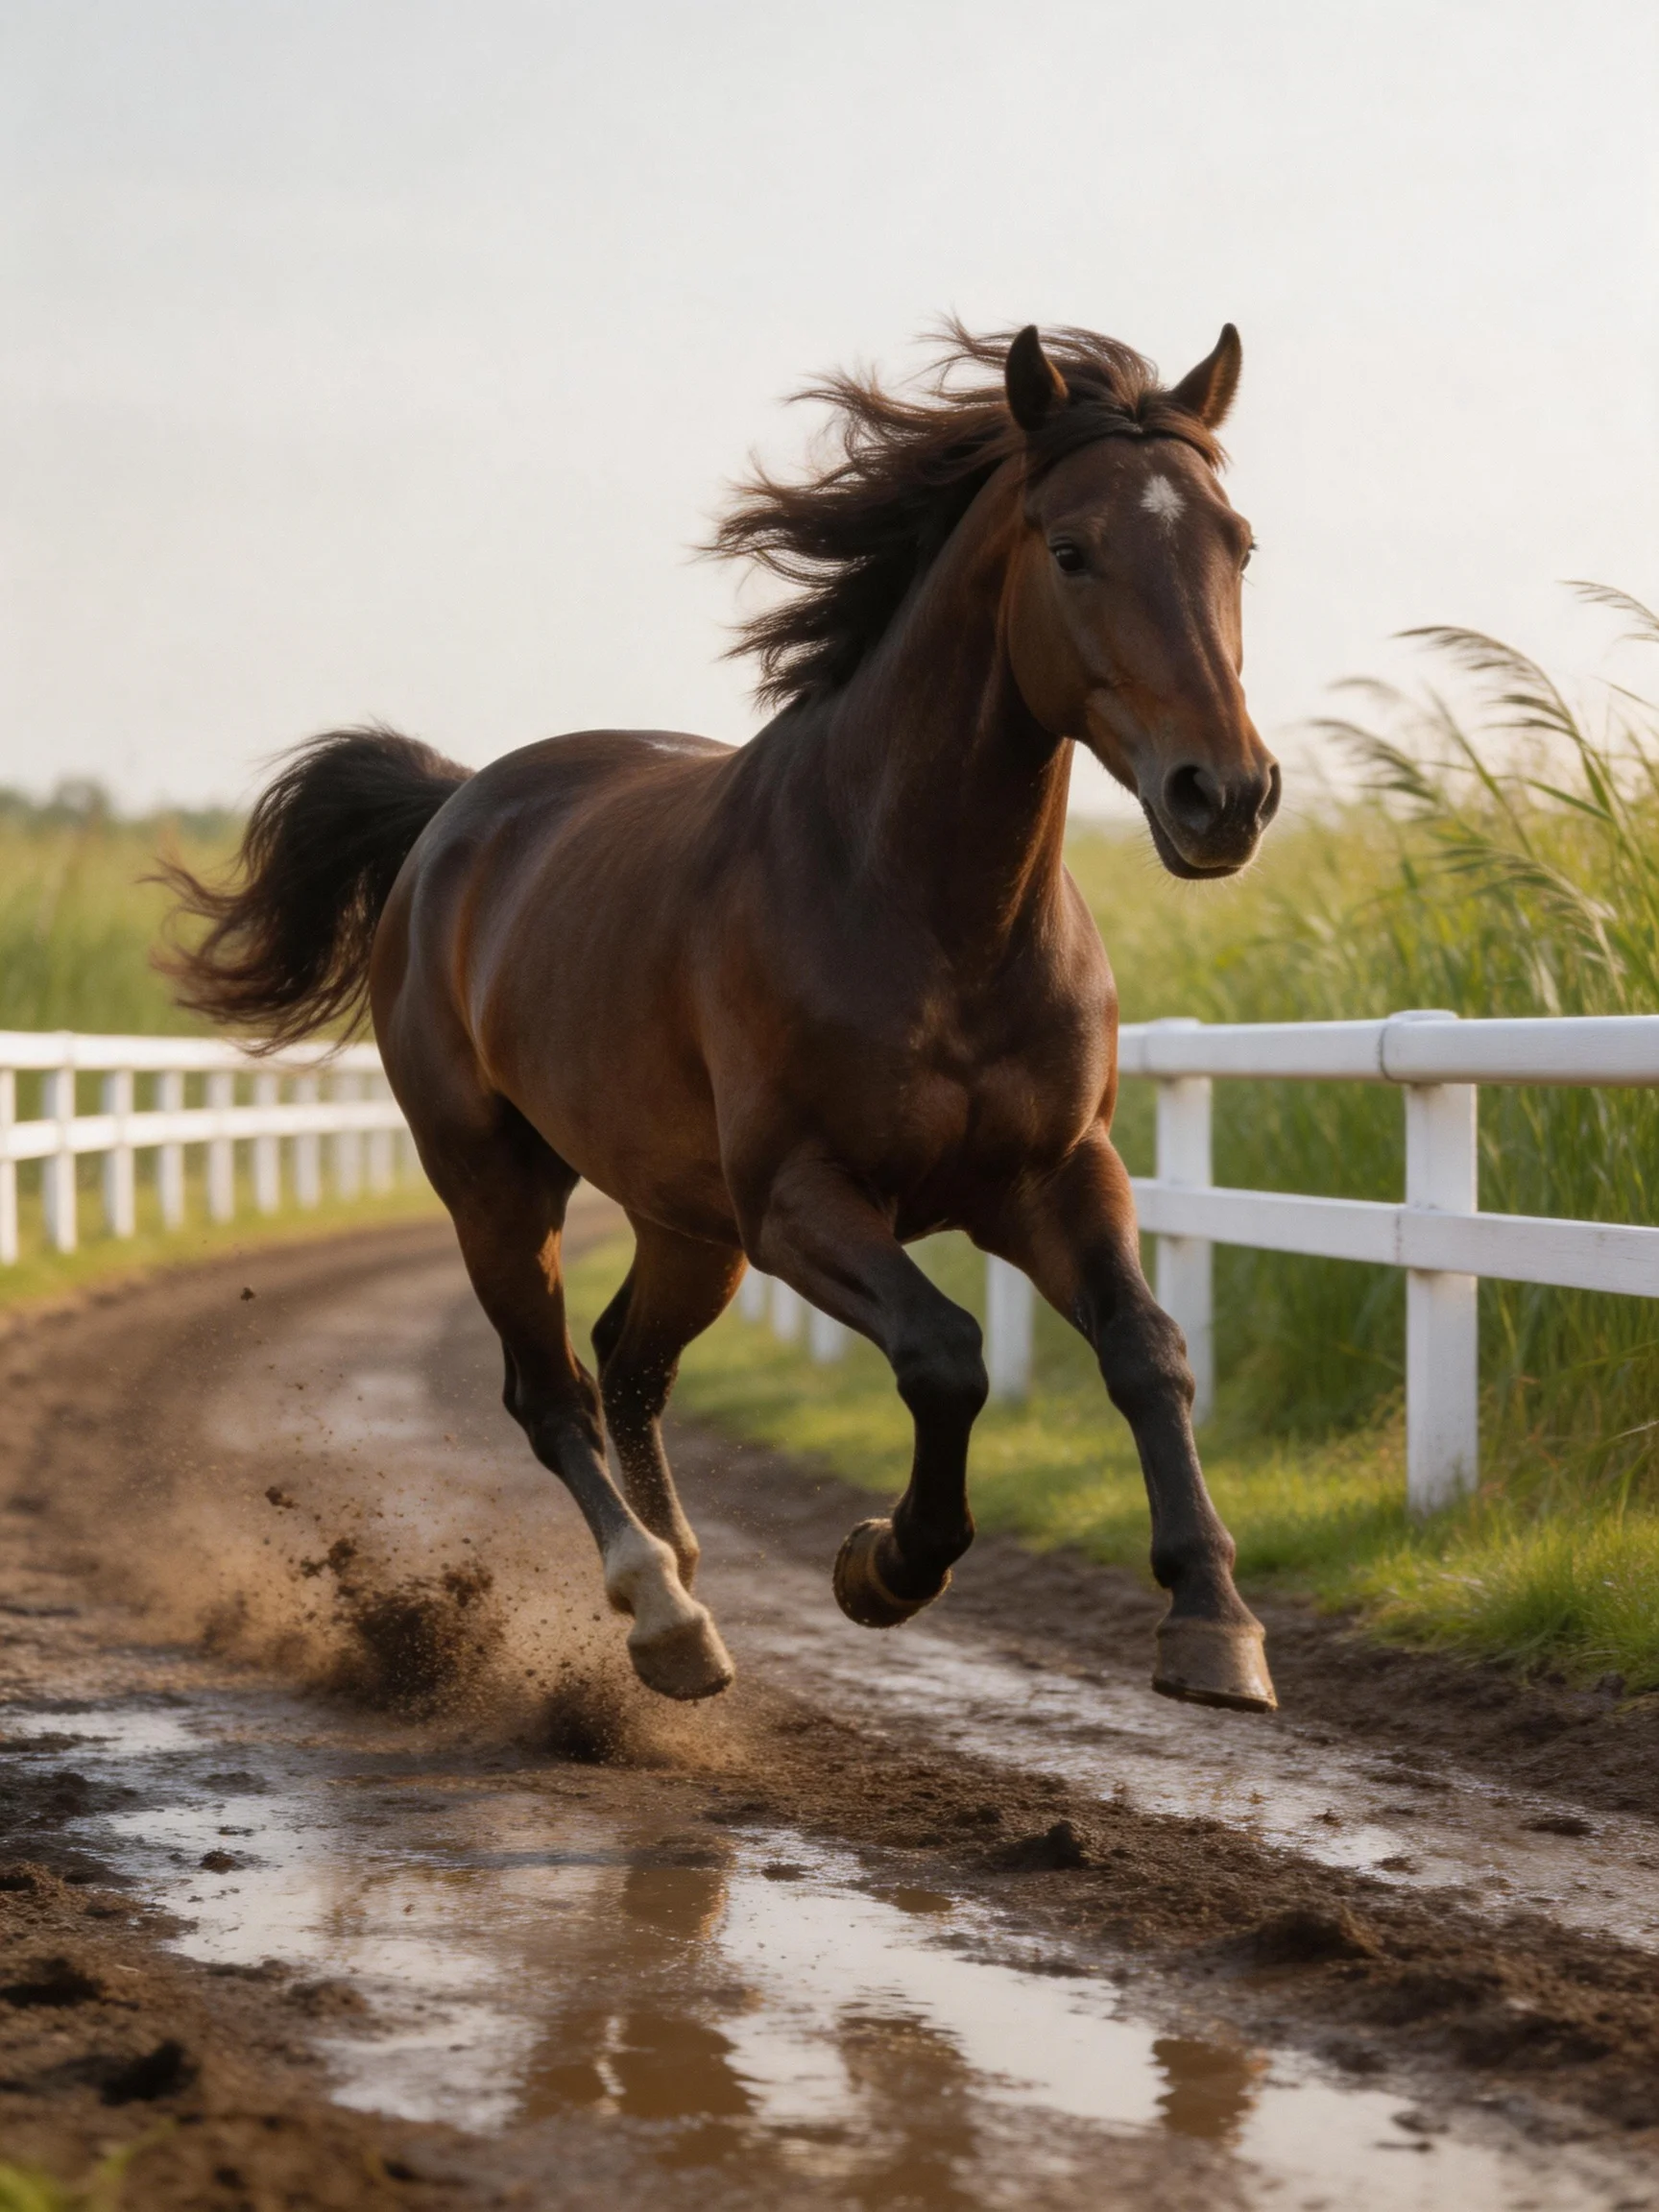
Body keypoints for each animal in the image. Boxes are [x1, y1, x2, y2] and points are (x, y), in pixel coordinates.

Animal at [165, 321, 1282, 1715]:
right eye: (1072, 548)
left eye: (1237, 542)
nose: (1223, 796)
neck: (924, 909)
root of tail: (453, 812)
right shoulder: (801, 1198)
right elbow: (946, 1351)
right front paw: (886, 1564)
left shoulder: (1057, 1172)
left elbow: (1148, 1350)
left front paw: (1214, 1622)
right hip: (498, 1188)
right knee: (552, 1392)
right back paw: (663, 1612)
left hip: (686, 1223)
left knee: (627, 1360)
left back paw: (684, 1560)